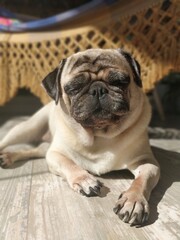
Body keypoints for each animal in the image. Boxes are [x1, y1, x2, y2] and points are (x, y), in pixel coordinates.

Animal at [0, 49, 160, 227]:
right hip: (27, 128)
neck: (99, 134)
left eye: (120, 81)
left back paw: (8, 156)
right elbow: (70, 164)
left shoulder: (146, 161)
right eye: (73, 88)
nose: (98, 89)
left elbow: (142, 180)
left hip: (41, 145)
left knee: (33, 151)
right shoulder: (56, 154)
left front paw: (133, 200)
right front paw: (85, 180)